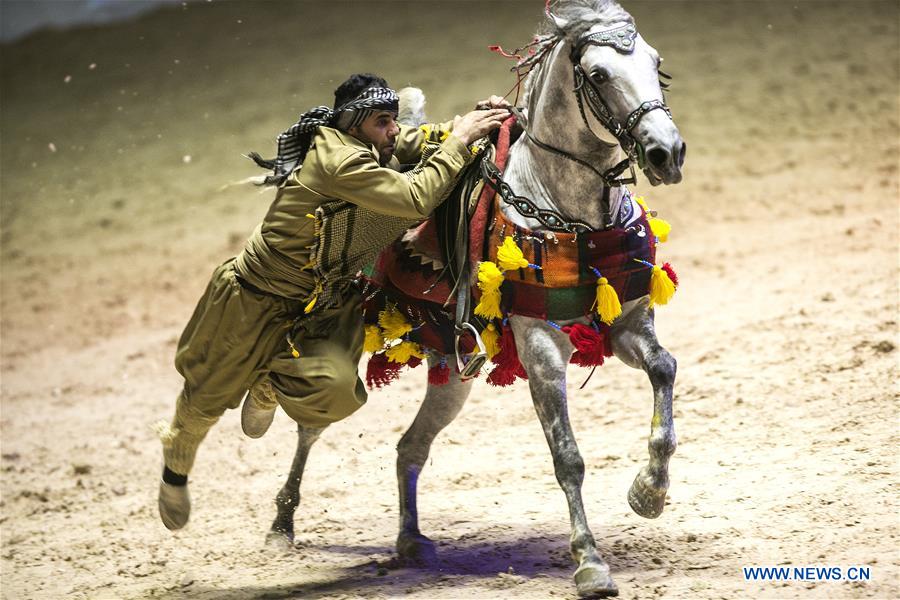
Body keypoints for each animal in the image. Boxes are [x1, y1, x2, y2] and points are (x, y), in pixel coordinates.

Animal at [266, 2, 684, 596]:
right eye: (599, 74)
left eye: (656, 64)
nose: (666, 152)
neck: (572, 217)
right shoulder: (541, 351)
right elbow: (568, 457)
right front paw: (589, 562)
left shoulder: (628, 326)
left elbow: (664, 375)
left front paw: (648, 492)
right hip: (339, 353)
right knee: (311, 426)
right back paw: (281, 524)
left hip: (451, 374)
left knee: (409, 447)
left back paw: (410, 540)